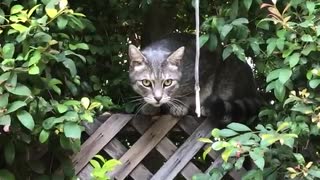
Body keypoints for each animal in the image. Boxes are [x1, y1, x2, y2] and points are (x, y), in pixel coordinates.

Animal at [127, 33, 260, 124]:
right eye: (146, 83)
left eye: (168, 82)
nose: (158, 98)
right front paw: (148, 105)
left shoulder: (206, 68)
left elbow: (194, 94)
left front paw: (180, 105)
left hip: (230, 69)